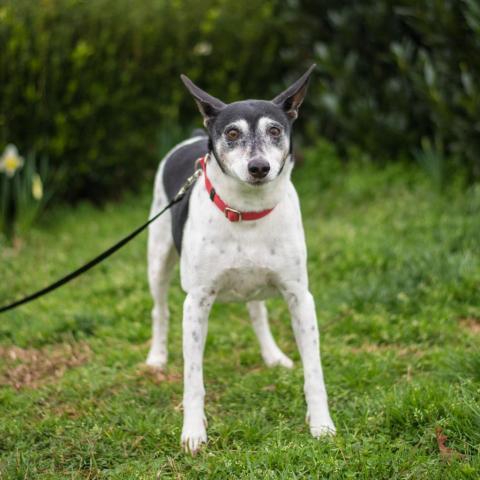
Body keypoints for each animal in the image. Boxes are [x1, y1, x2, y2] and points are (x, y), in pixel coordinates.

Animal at [146, 64, 334, 454]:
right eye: (232, 133)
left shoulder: (300, 297)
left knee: (256, 312)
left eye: (275, 130)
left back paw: (273, 356)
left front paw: (321, 425)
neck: (248, 211)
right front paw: (193, 432)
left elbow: (314, 371)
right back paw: (156, 357)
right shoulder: (196, 303)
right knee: (160, 310)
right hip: (157, 259)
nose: (259, 167)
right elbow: (193, 379)